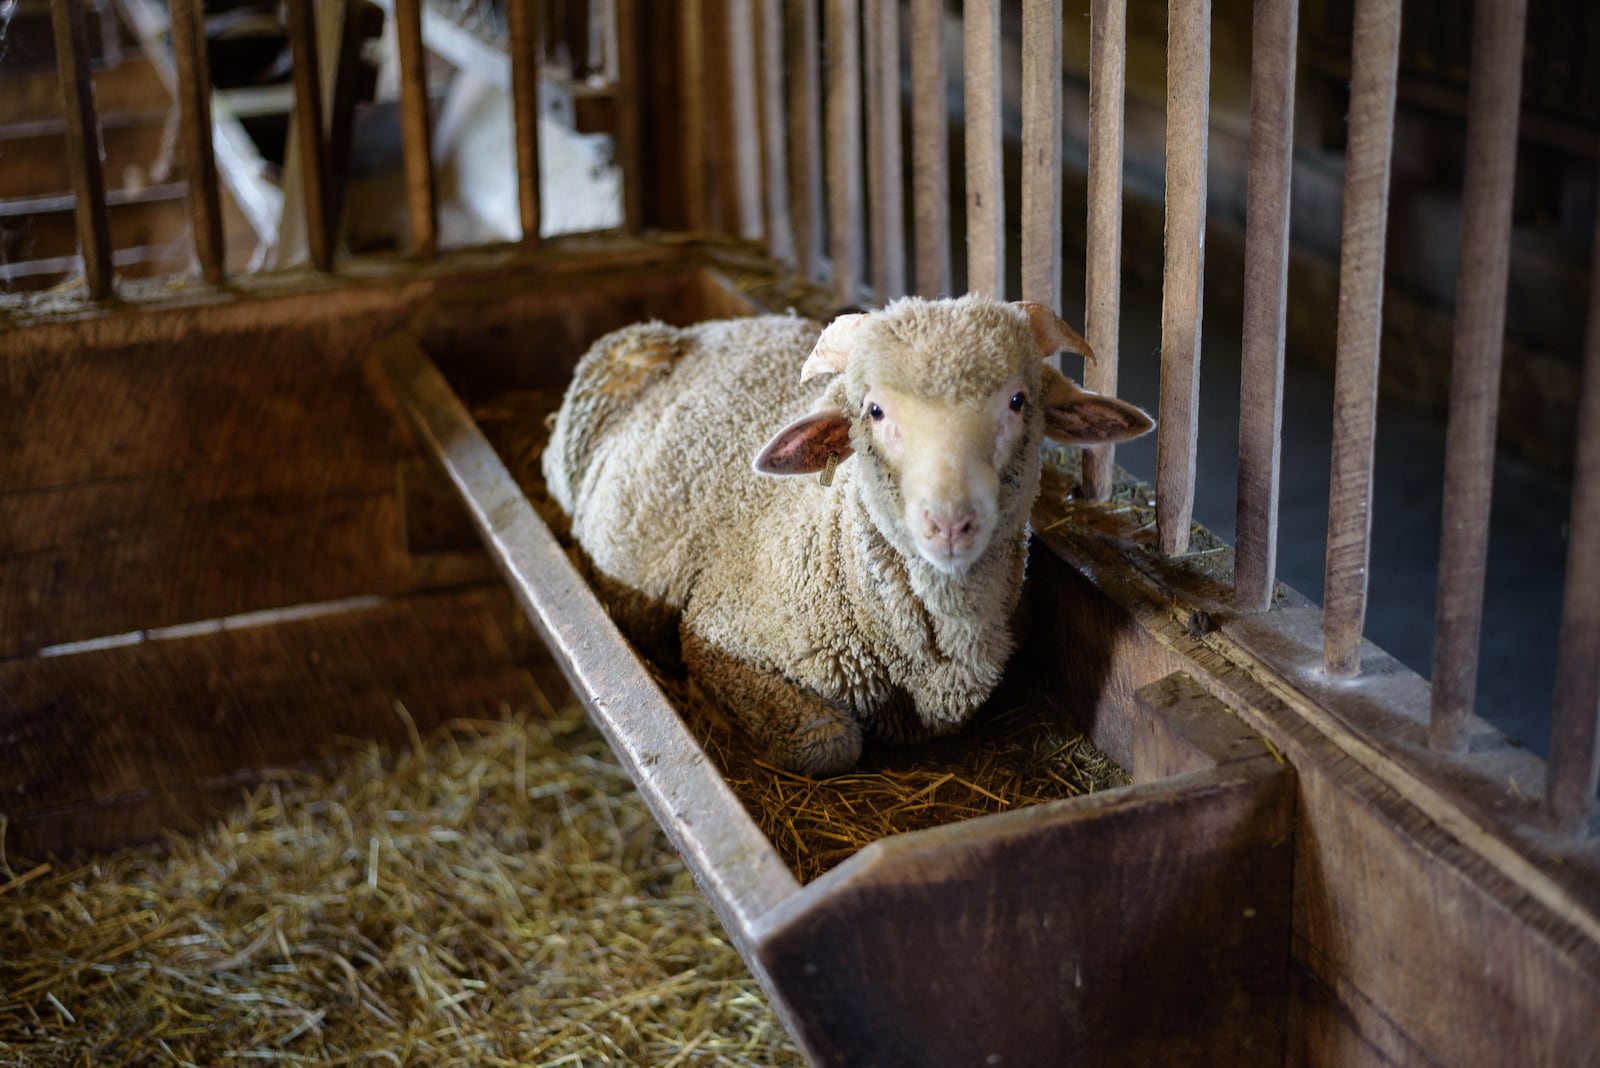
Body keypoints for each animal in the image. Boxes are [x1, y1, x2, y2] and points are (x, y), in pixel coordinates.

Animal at [544, 294, 1158, 777]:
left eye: (1017, 400)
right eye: (875, 410)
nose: (950, 522)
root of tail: (700, 329)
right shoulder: (720, 636)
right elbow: (829, 743)